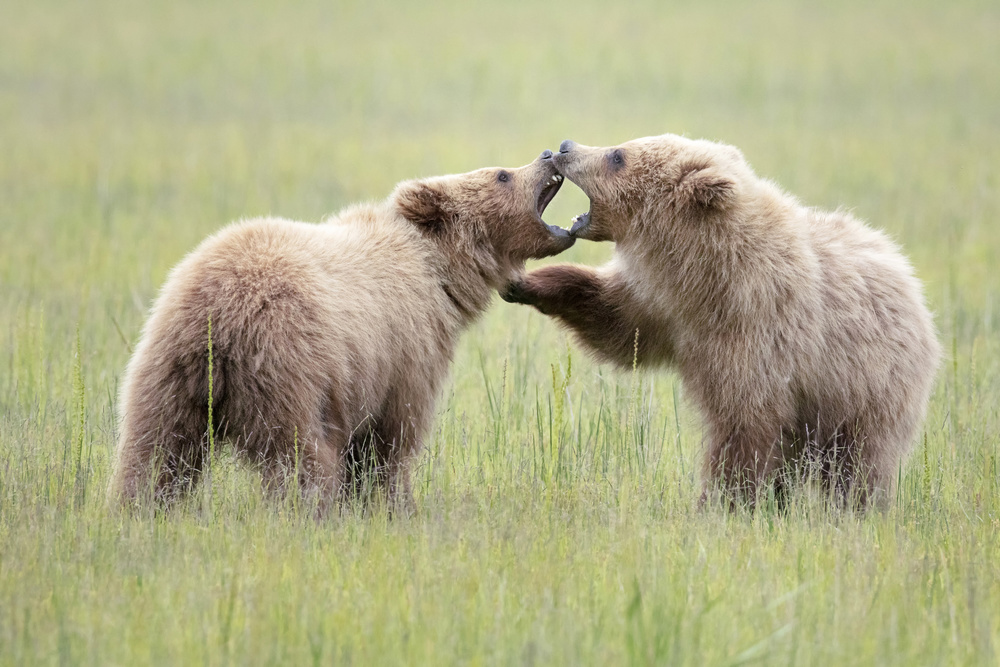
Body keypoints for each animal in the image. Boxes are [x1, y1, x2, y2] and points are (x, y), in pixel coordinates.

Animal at [108, 149, 572, 513]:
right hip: (289, 367)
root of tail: (216, 320)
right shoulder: (405, 349)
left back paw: (138, 511)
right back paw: (310, 514)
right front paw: (396, 506)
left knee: (155, 450)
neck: (438, 272)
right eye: (502, 174)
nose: (549, 153)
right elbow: (390, 441)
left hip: (166, 370)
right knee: (298, 457)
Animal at [502, 134, 940, 509]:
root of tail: (912, 282)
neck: (710, 277)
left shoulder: (757, 333)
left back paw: (850, 510)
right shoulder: (665, 309)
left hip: (865, 389)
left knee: (858, 464)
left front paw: (719, 506)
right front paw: (525, 283)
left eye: (617, 156)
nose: (565, 146)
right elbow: (617, 326)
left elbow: (743, 428)